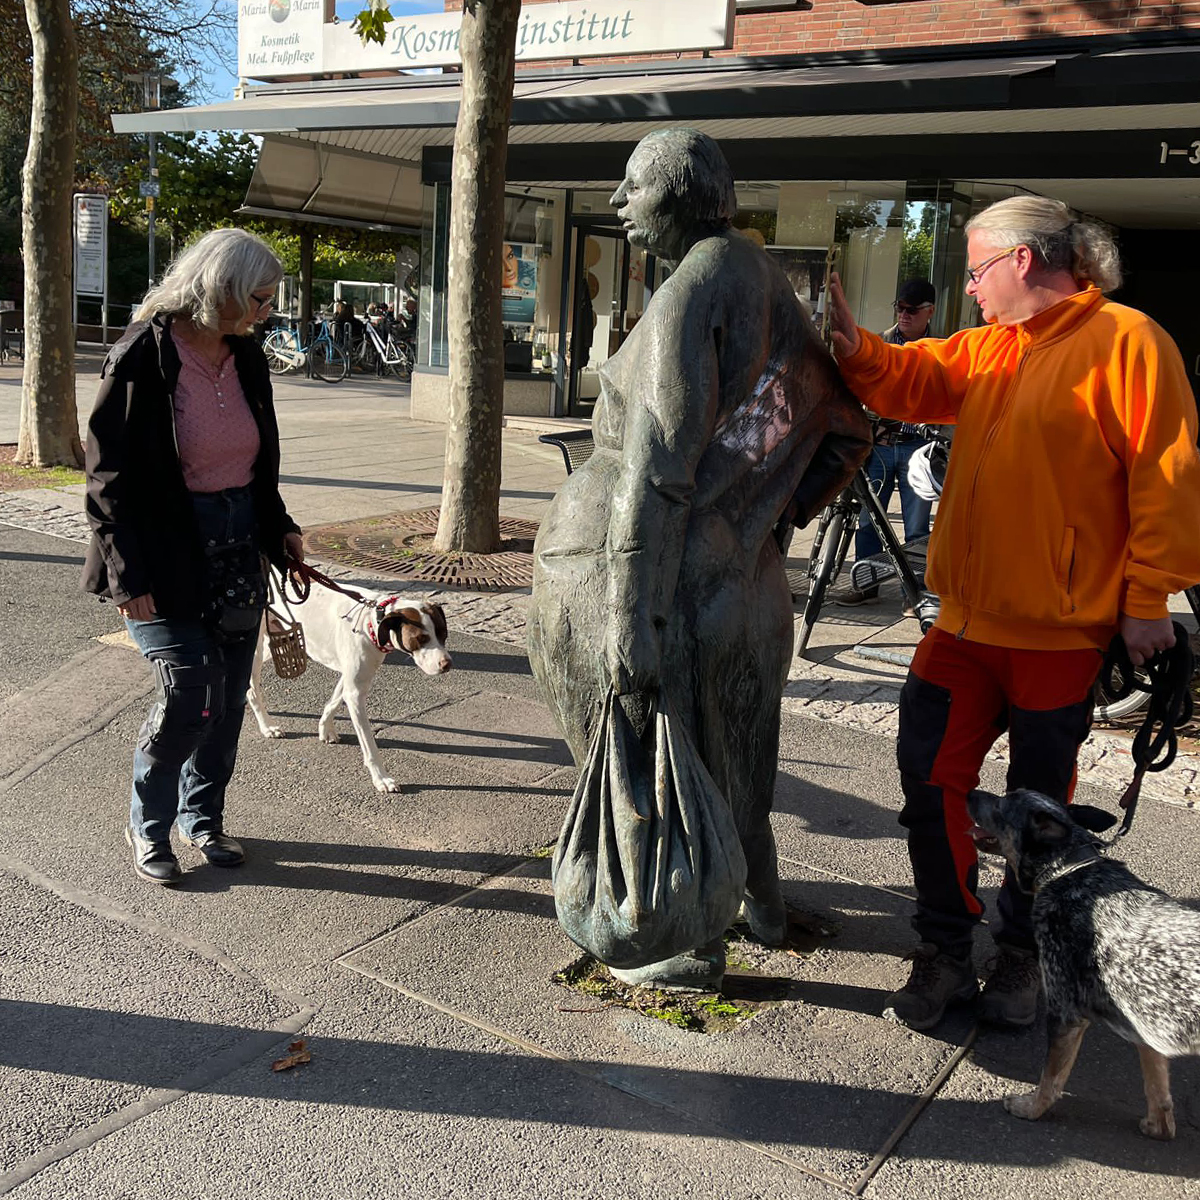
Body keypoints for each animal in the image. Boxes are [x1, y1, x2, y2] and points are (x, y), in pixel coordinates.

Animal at [247, 573, 451, 792]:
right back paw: (267, 726)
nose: (447, 664)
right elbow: (369, 743)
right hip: (256, 649)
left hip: (276, 643)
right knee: (251, 689)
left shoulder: (352, 679)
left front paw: (325, 729)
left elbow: (334, 701)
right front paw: (381, 778)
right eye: (421, 638)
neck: (371, 623)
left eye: (443, 634)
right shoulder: (356, 692)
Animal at [964, 782, 1200, 1137]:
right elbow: (1157, 1090)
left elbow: (1050, 1080)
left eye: (1002, 805)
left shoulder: (1066, 1014)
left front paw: (1030, 1109)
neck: (1069, 871)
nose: (969, 791)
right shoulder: (1147, 1026)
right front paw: (1158, 1126)